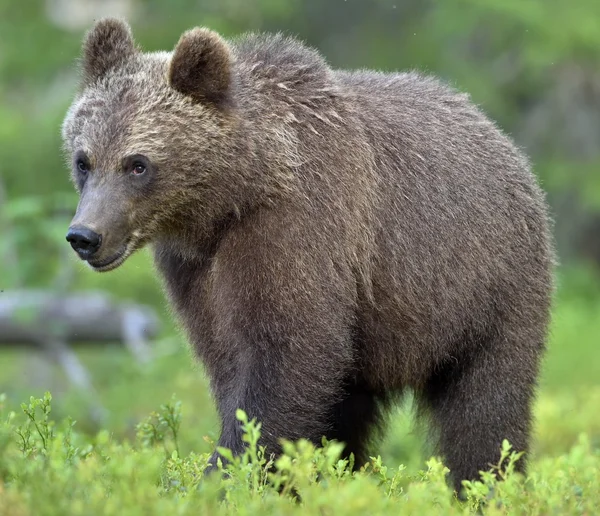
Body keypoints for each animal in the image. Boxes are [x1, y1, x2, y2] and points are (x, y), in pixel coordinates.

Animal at [61, 18, 552, 490]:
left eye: (137, 164)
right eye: (84, 160)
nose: (85, 235)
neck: (233, 198)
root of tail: (502, 140)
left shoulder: (300, 231)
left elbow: (287, 356)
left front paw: (226, 475)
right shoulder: (195, 271)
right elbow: (228, 363)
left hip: (483, 290)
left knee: (485, 407)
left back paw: (487, 485)